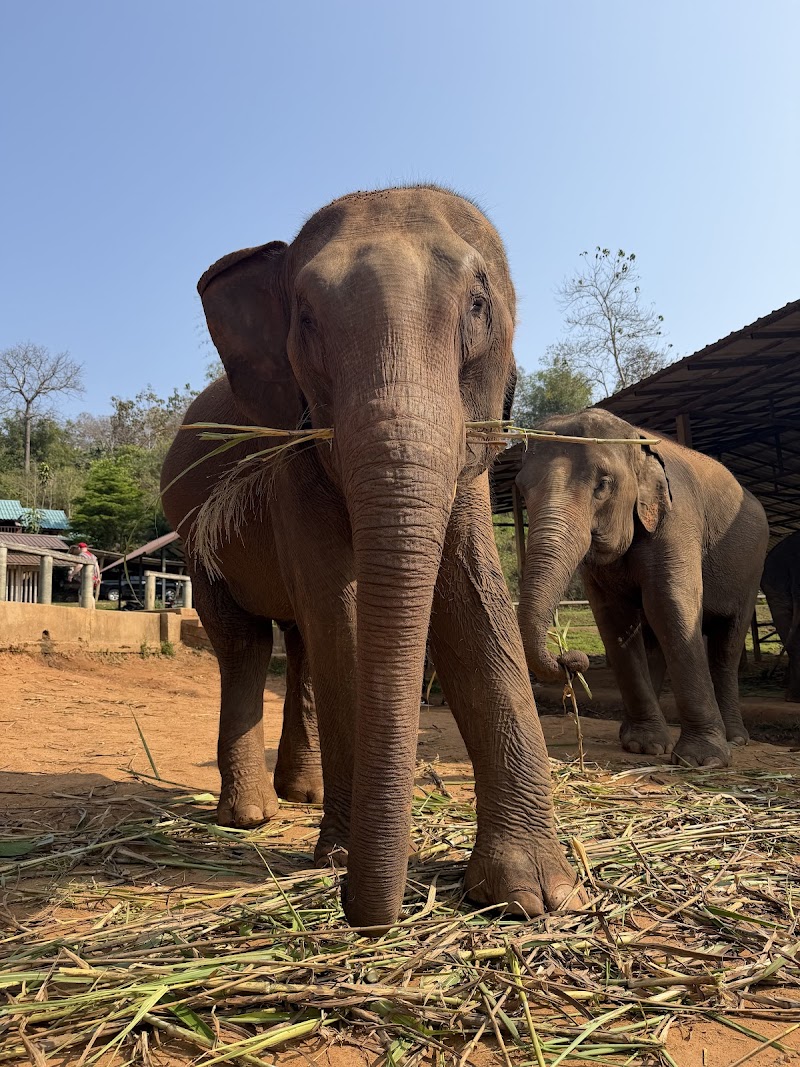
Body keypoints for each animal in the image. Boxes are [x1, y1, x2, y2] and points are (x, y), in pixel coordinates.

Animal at [161, 185, 580, 929]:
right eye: (305, 319)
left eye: (478, 305)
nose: (366, 915)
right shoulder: (294, 463)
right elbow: (344, 617)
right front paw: (337, 858)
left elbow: (474, 603)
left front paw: (535, 896)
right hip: (194, 539)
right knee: (246, 641)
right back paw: (251, 815)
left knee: (296, 641)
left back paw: (298, 795)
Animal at [514, 408, 769, 768]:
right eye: (522, 489)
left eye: (603, 484)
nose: (570, 658)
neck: (636, 440)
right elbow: (614, 619)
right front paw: (643, 746)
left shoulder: (677, 520)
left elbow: (671, 606)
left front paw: (701, 761)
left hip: (752, 568)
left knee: (727, 645)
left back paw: (735, 739)